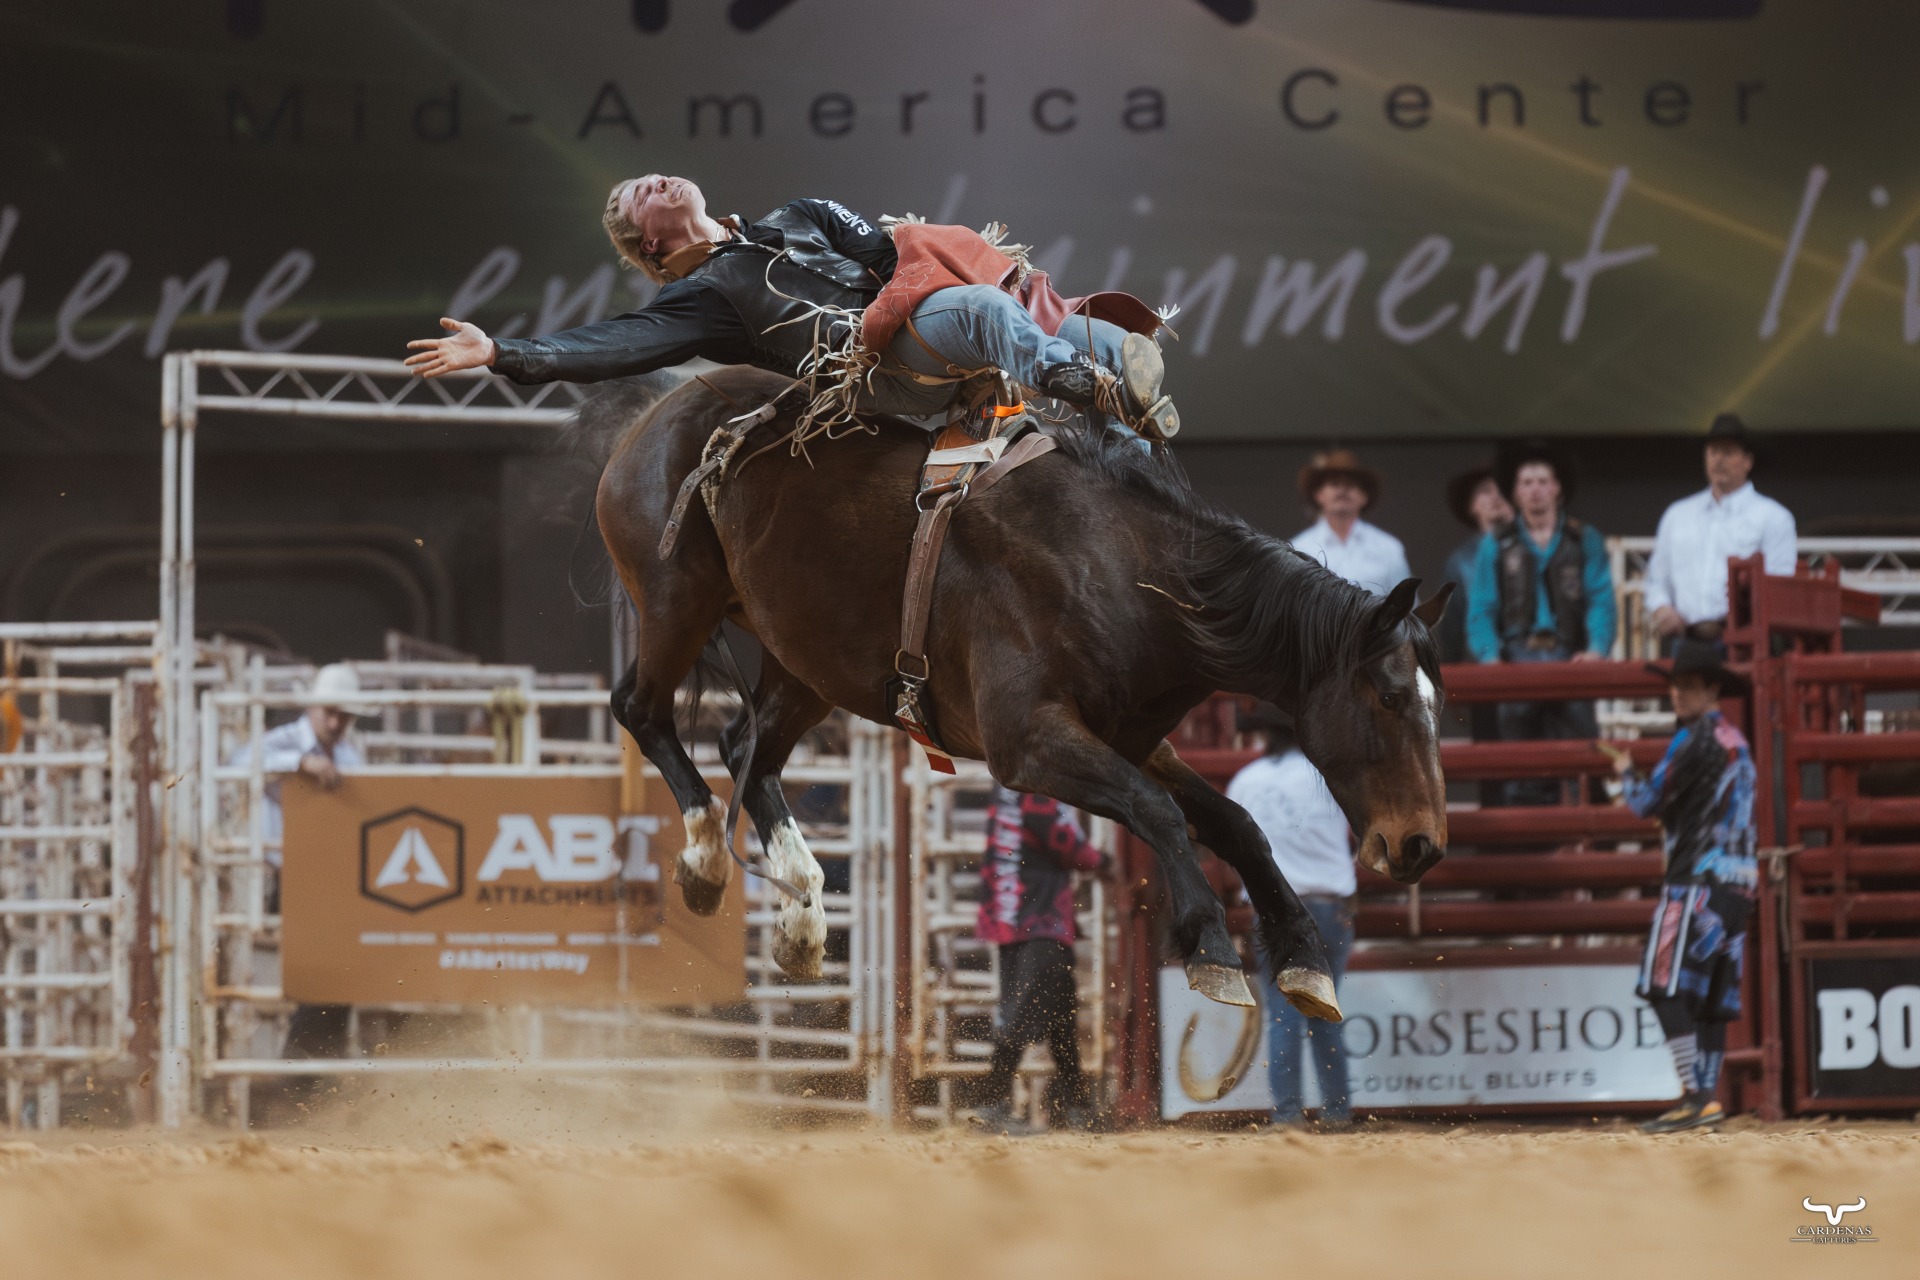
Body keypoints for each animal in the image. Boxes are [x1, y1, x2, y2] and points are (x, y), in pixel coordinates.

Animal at [594, 366, 1450, 1020]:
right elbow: (1158, 812)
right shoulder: (1028, 742)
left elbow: (1234, 823)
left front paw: (1304, 956)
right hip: (675, 600)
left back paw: (803, 916)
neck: (1128, 574)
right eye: (1387, 698)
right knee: (640, 710)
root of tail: (665, 407)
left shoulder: (1133, 737)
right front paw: (1211, 945)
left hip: (804, 657)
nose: (1422, 845)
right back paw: (706, 859)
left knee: (750, 748)